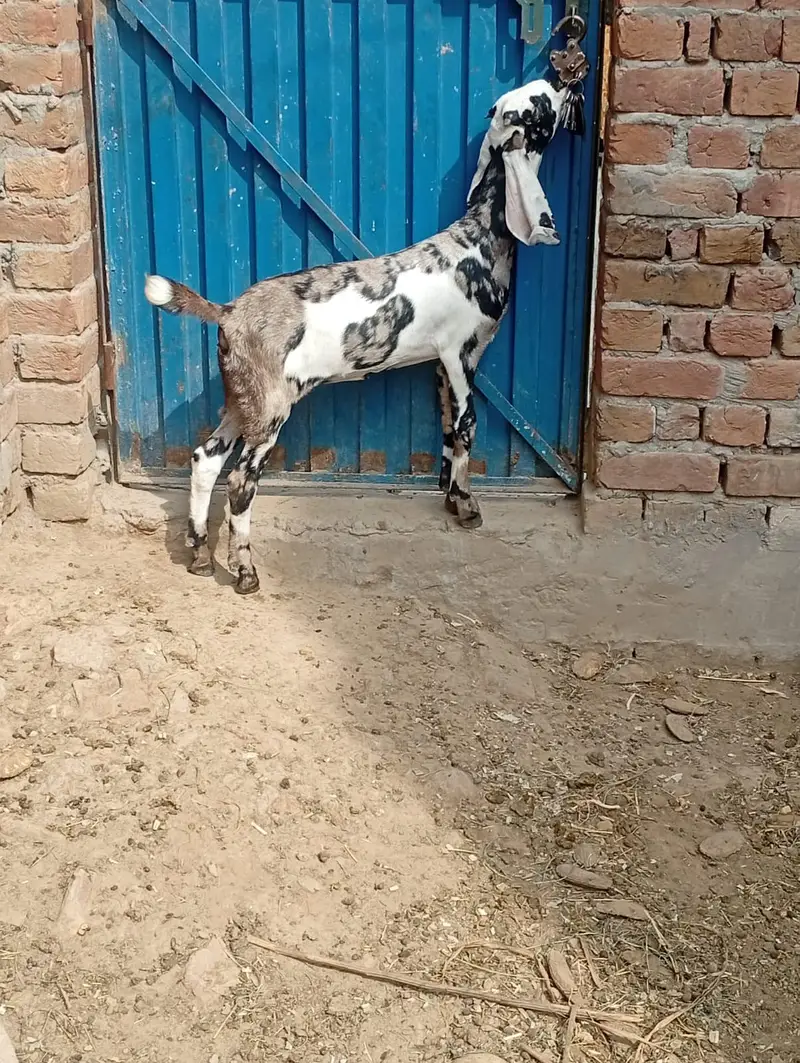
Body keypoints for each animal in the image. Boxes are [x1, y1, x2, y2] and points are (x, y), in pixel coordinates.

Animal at [145, 78, 569, 595]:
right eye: (541, 104)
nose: (568, 81)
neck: (479, 240)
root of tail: (228, 312)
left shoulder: (438, 365)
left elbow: (448, 430)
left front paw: (450, 496)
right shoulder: (461, 354)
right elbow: (468, 425)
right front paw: (468, 507)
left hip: (242, 401)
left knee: (205, 460)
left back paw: (201, 557)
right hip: (270, 410)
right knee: (241, 482)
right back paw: (244, 572)